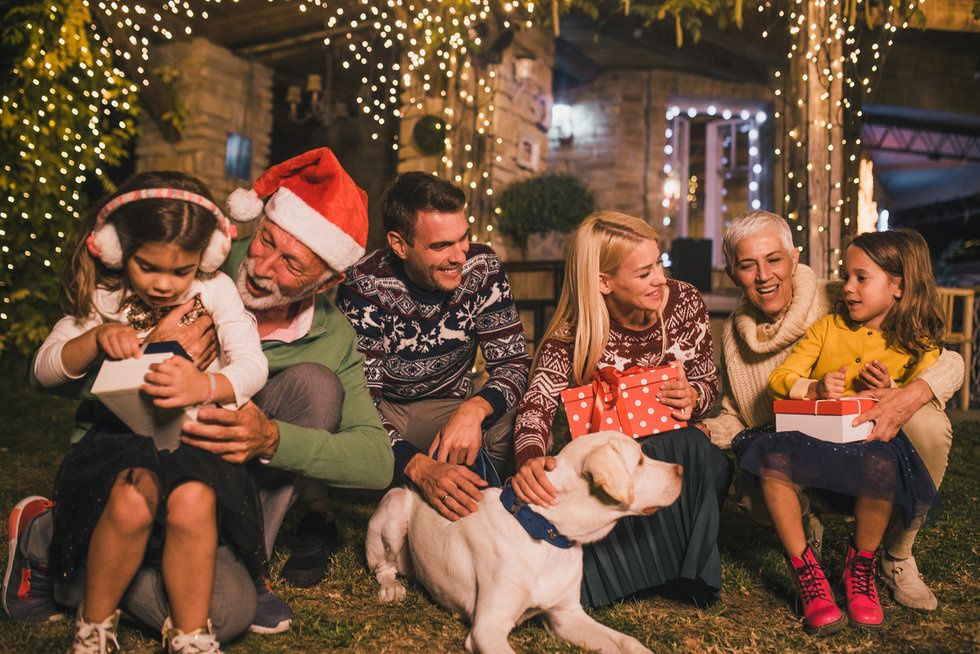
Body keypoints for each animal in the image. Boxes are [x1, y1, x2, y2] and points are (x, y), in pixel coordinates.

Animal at [366, 434, 680, 652]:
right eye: (640, 461)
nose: (680, 469)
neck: (546, 535)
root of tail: (412, 484)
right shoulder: (487, 628)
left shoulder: (567, 616)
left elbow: (628, 642)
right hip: (393, 510)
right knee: (383, 567)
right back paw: (392, 587)